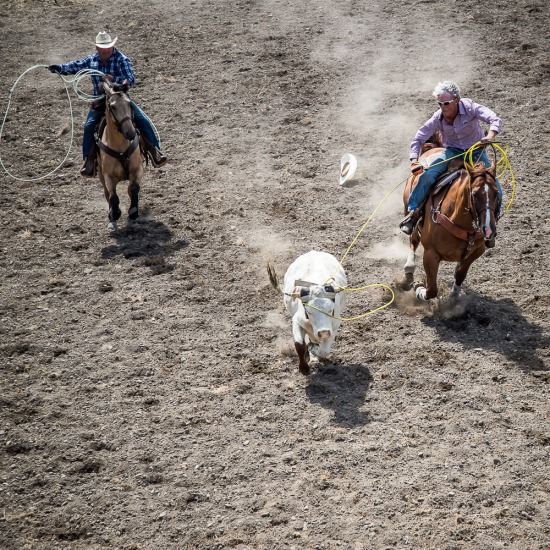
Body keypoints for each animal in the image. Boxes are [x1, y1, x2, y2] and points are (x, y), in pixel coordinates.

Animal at [96, 78, 144, 232]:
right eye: (113, 107)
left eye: (129, 103)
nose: (130, 132)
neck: (121, 148)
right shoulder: (108, 176)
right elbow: (113, 197)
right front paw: (115, 214)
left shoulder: (137, 170)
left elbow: (134, 189)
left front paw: (133, 213)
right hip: (100, 175)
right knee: (107, 194)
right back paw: (112, 218)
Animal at [404, 147, 502, 302]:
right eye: (474, 194)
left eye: (496, 193)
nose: (488, 230)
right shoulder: (430, 253)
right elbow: (432, 290)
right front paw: (419, 287)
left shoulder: (477, 251)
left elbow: (460, 274)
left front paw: (453, 298)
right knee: (413, 240)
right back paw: (409, 269)